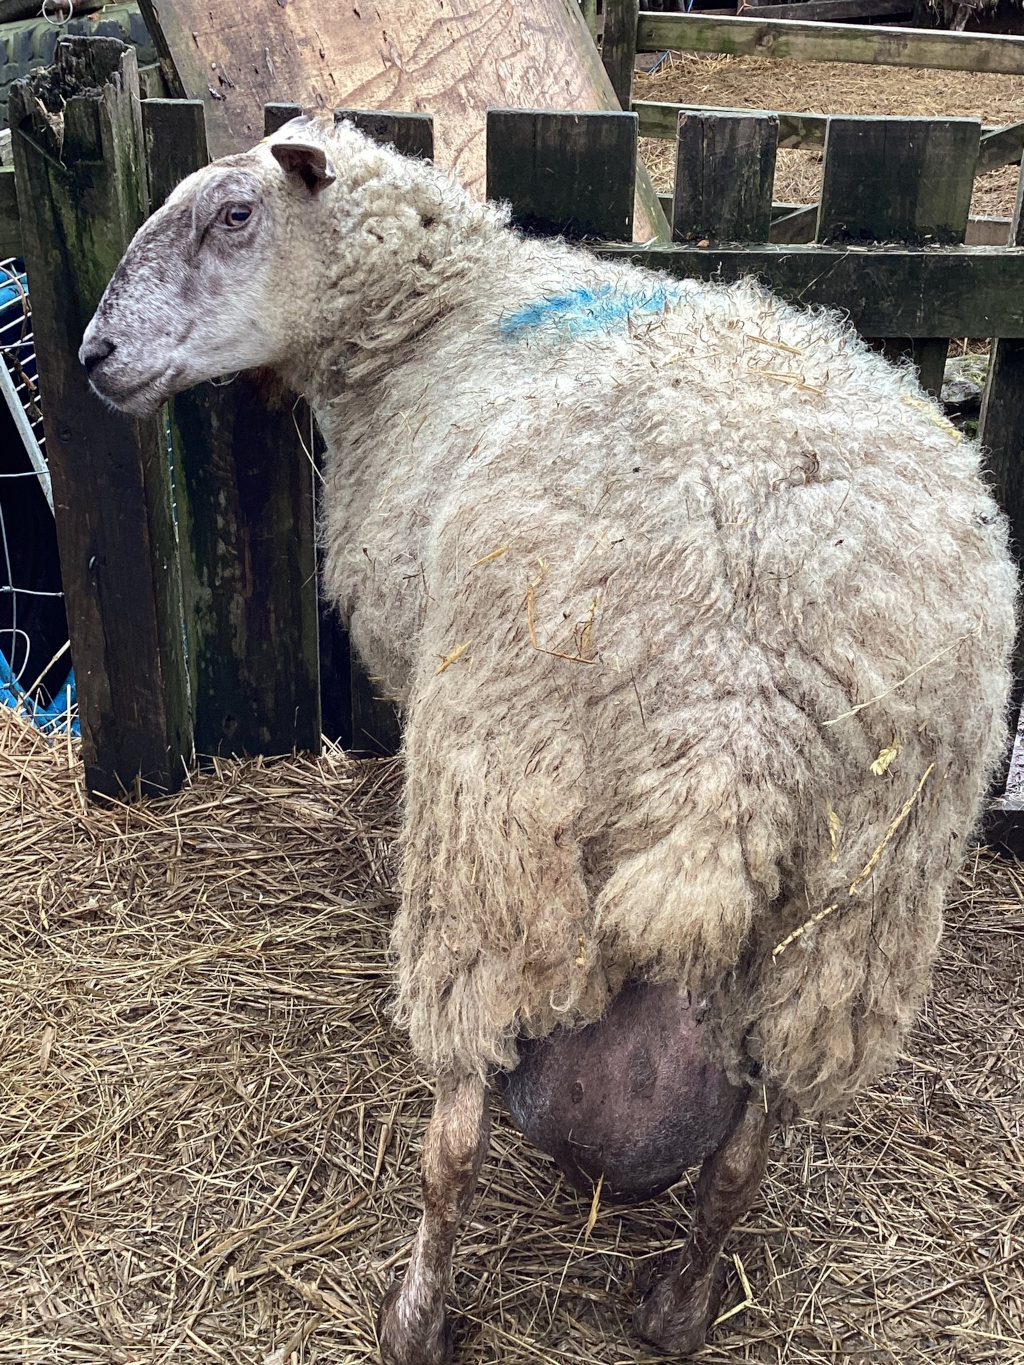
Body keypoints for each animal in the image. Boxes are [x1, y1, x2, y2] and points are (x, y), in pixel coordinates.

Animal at [79, 112, 1017, 1363]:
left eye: (234, 215)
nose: (94, 356)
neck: (441, 311)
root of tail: (732, 708)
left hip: (499, 839)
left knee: (455, 1142)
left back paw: (416, 1317)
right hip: (853, 917)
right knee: (745, 1150)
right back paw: (678, 1308)